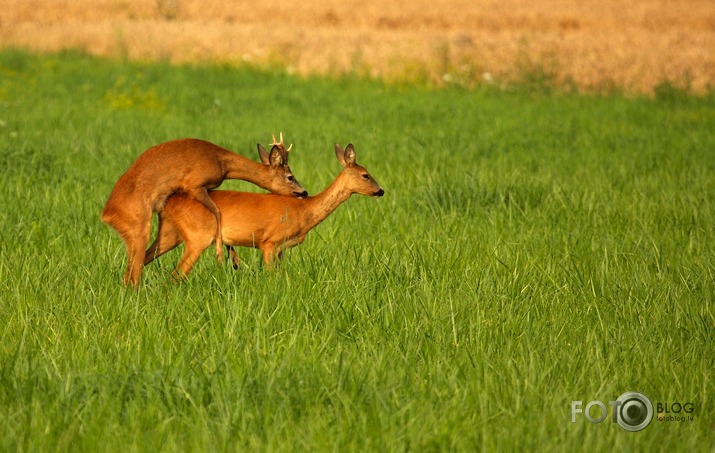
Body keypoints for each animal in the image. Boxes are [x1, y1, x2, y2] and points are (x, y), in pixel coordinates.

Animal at [99, 136, 306, 288]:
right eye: (290, 177)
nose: (304, 192)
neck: (222, 163)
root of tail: (106, 214)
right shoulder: (195, 184)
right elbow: (218, 213)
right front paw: (221, 255)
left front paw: (233, 259)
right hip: (138, 226)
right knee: (133, 274)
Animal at [142, 143, 384, 278]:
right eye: (365, 175)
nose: (380, 191)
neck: (305, 211)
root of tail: (169, 201)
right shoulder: (269, 242)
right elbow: (270, 277)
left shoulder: (282, 248)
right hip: (197, 237)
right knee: (176, 274)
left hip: (171, 234)